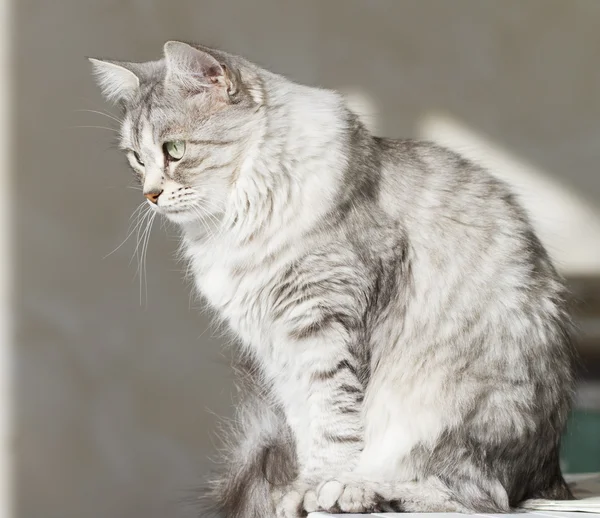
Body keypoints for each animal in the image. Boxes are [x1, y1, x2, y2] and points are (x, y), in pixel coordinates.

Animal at [89, 41, 576, 518]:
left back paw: (359, 491)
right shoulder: (277, 349)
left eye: (174, 149)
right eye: (137, 158)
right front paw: (301, 491)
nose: (150, 194)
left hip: (446, 413)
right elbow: (308, 429)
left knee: (472, 498)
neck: (235, 227)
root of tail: (549, 476)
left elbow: (334, 422)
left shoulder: (324, 323)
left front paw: (321, 487)